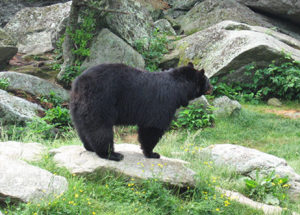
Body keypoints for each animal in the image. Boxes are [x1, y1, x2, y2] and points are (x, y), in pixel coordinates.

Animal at [69, 63, 211, 161]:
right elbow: (152, 128)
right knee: (100, 129)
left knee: (82, 127)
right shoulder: (162, 102)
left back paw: (89, 147)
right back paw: (112, 154)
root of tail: (80, 83)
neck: (179, 88)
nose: (212, 87)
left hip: (77, 107)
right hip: (100, 101)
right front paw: (152, 153)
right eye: (207, 81)